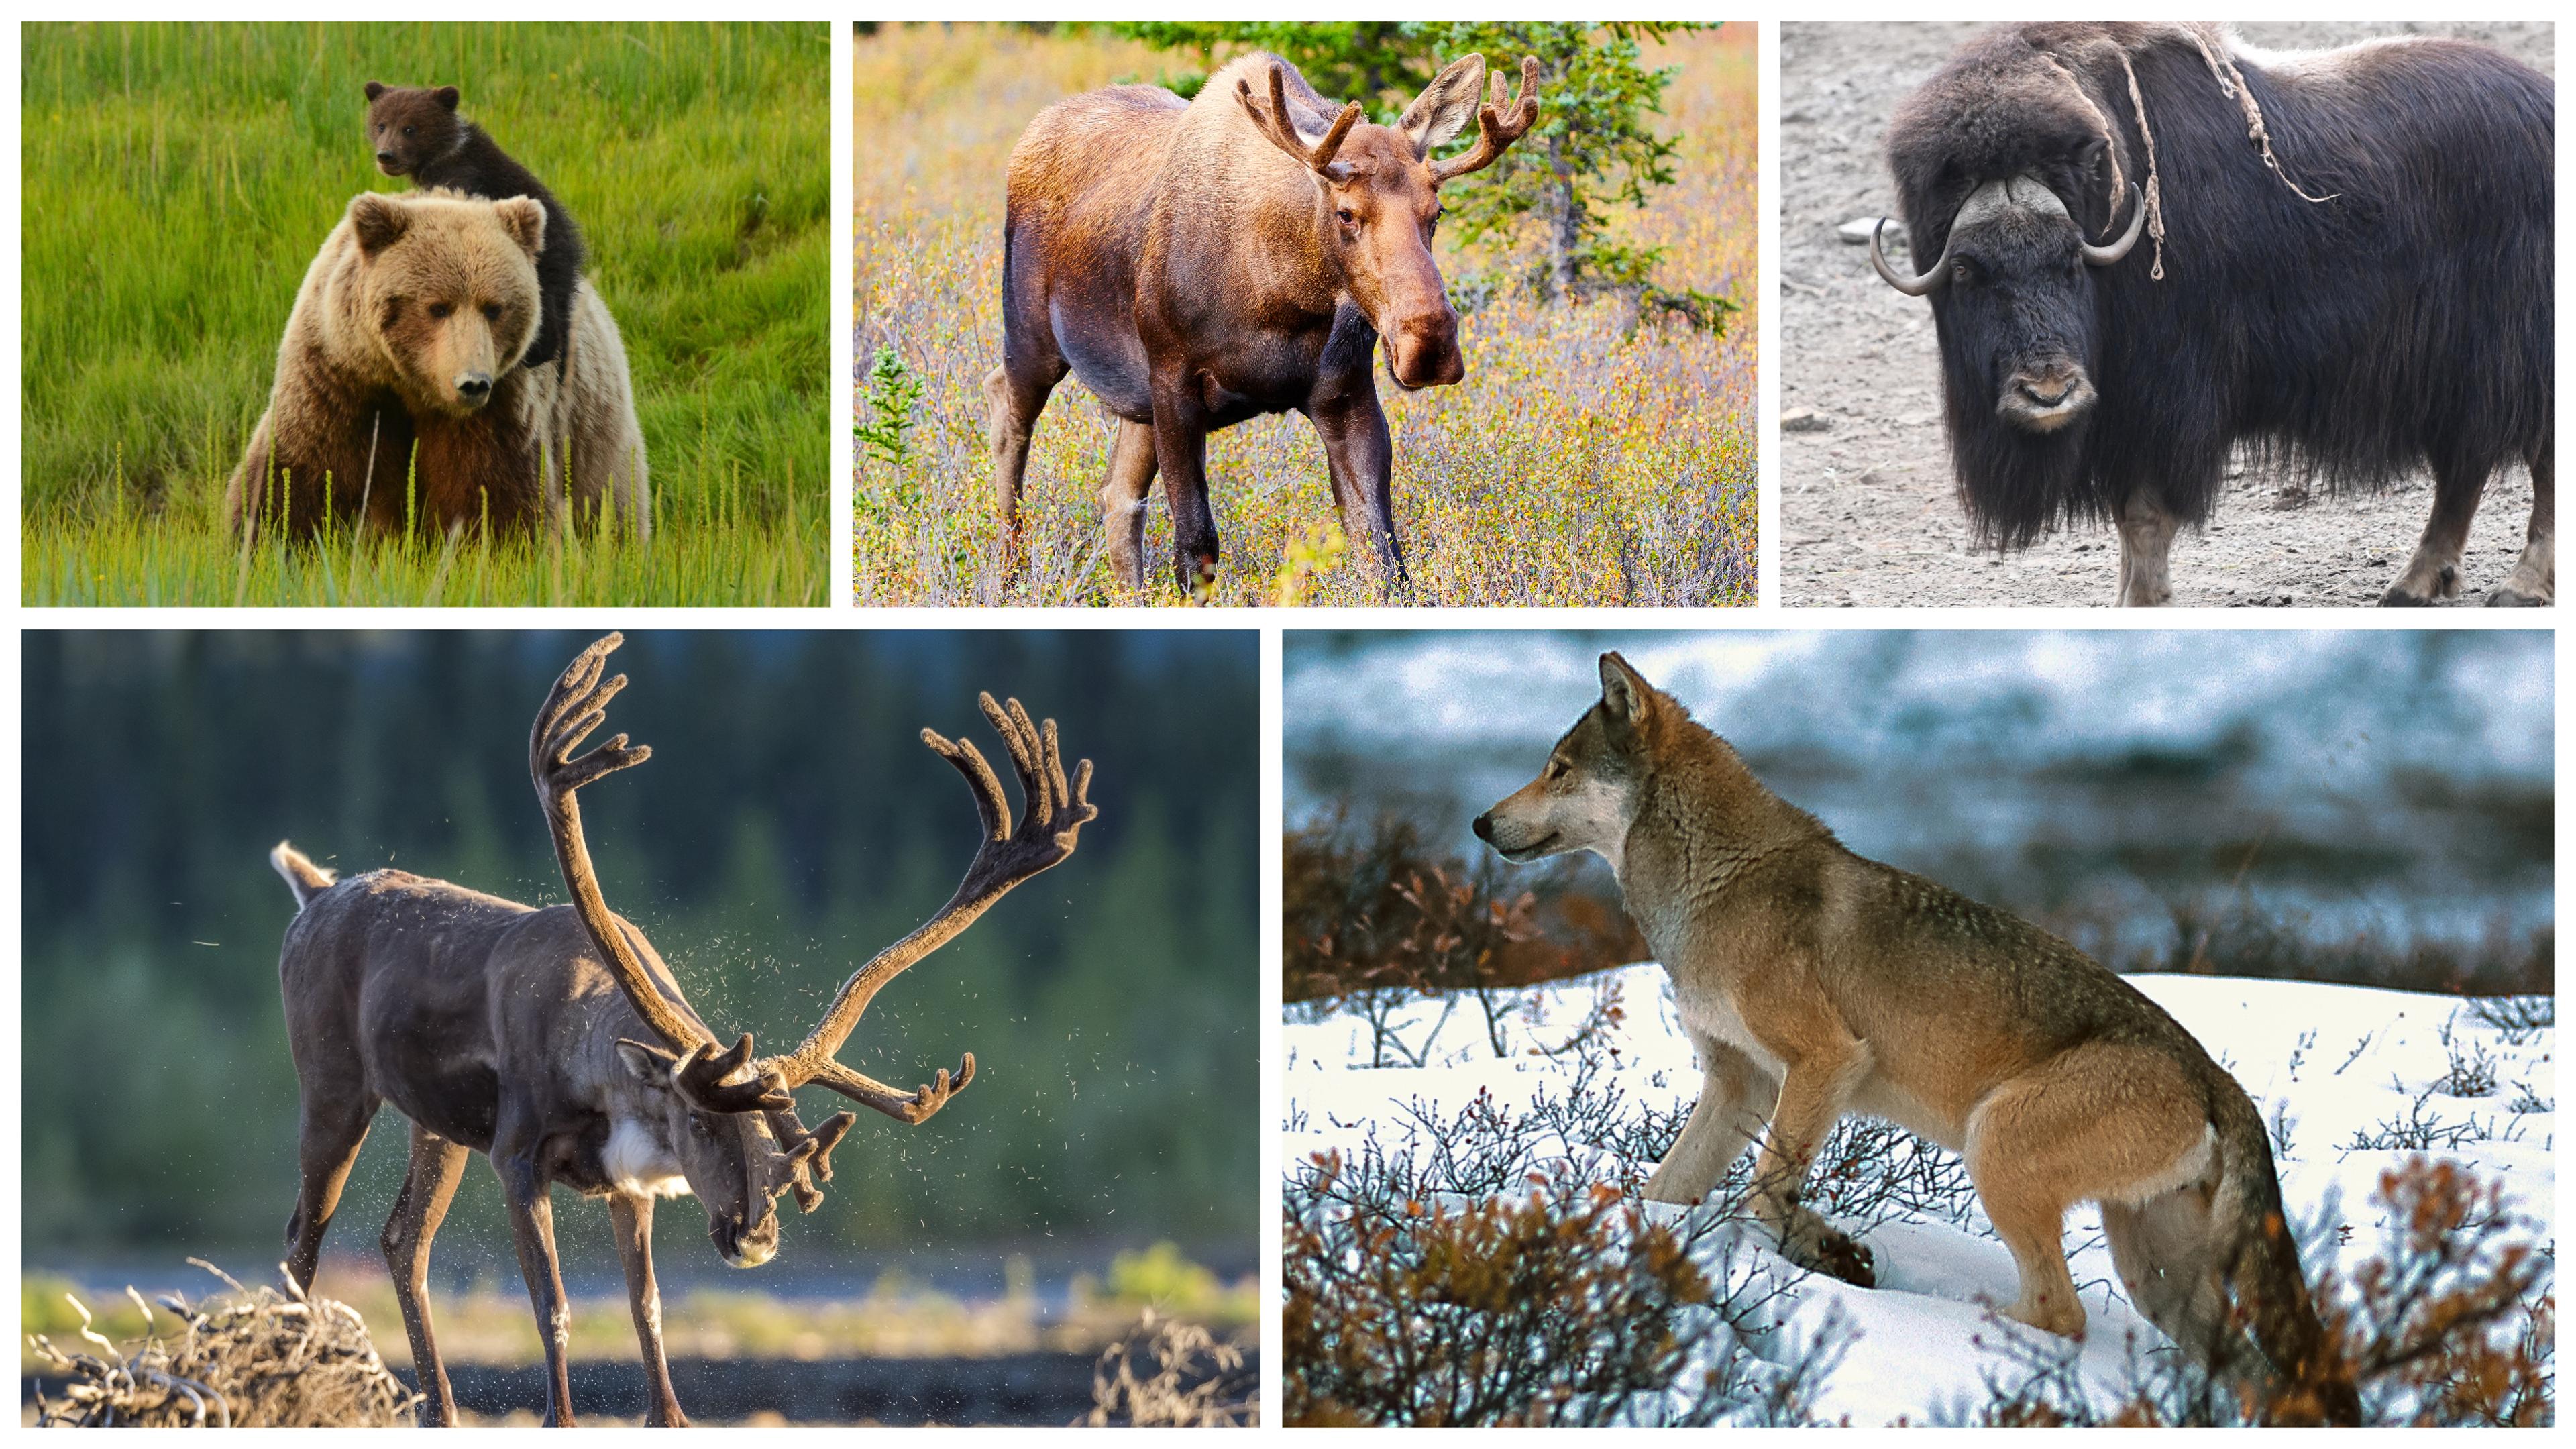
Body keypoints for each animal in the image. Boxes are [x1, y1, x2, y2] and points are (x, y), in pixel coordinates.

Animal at [224, 190, 650, 541]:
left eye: (495, 308)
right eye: (437, 307)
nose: (472, 382)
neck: (413, 390)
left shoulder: (501, 408)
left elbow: (496, 499)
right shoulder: (339, 382)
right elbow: (294, 476)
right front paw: (263, 544)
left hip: (597, 443)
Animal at [263, 633, 1096, 1426]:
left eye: (778, 1135)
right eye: (699, 1123)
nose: (756, 1238)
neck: (599, 1067)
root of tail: (314, 893)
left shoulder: (628, 1188)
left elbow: (648, 1309)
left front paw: (671, 1414)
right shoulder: (516, 1155)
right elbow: (555, 1307)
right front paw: (561, 1418)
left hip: (435, 1126)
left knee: (403, 1242)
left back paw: (441, 1409)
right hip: (334, 1087)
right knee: (301, 1239)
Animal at [364, 82, 587, 374]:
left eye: (410, 128)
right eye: (381, 125)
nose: (386, 155)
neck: (439, 156)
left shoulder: (463, 174)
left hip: (548, 259)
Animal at [991, 50, 1540, 594]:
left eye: (1437, 211)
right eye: (1346, 213)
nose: (1427, 345)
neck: (1282, 299)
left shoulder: (1346, 394)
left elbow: (1384, 560)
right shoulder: (1174, 381)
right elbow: (1195, 550)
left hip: (1133, 399)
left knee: (1117, 495)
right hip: (1031, 337)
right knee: (1007, 420)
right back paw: (1008, 577)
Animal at [1473, 652, 2357, 1422]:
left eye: (1559, 768)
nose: (1480, 822)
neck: (1710, 887)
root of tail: (2220, 1081)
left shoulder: (1825, 1061)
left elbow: (1763, 1192)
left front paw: (1829, 1252)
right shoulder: (1740, 1085)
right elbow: (1667, 1191)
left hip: (1996, 1150)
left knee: (2059, 1315)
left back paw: (1957, 1327)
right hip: (2156, 1276)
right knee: (2241, 1371)